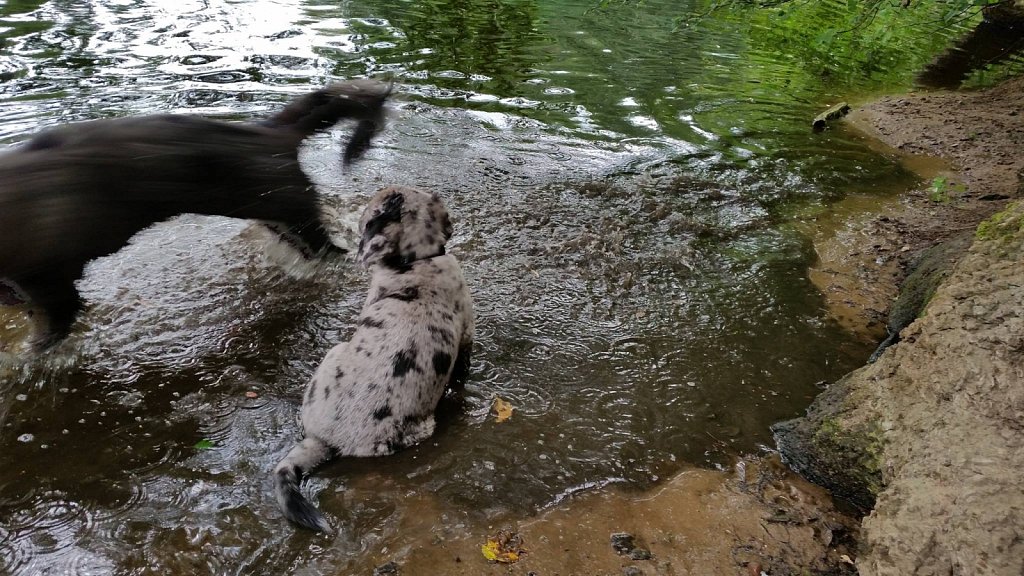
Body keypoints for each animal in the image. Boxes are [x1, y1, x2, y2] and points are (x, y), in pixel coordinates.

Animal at [0, 79, 391, 350]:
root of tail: (273, 130)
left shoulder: (48, 279)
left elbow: (52, 324)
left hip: (299, 218)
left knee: (335, 251)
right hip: (281, 222)